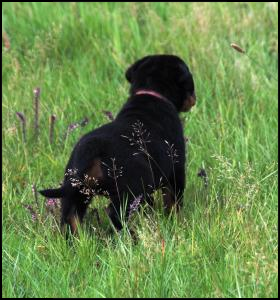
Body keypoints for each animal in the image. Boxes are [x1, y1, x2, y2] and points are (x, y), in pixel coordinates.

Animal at [40, 55, 197, 234]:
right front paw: (177, 222)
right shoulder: (176, 169)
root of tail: (94, 147)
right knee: (115, 213)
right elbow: (173, 202)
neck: (151, 93)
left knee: (70, 217)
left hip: (75, 191)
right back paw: (130, 235)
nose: (194, 100)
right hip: (133, 186)